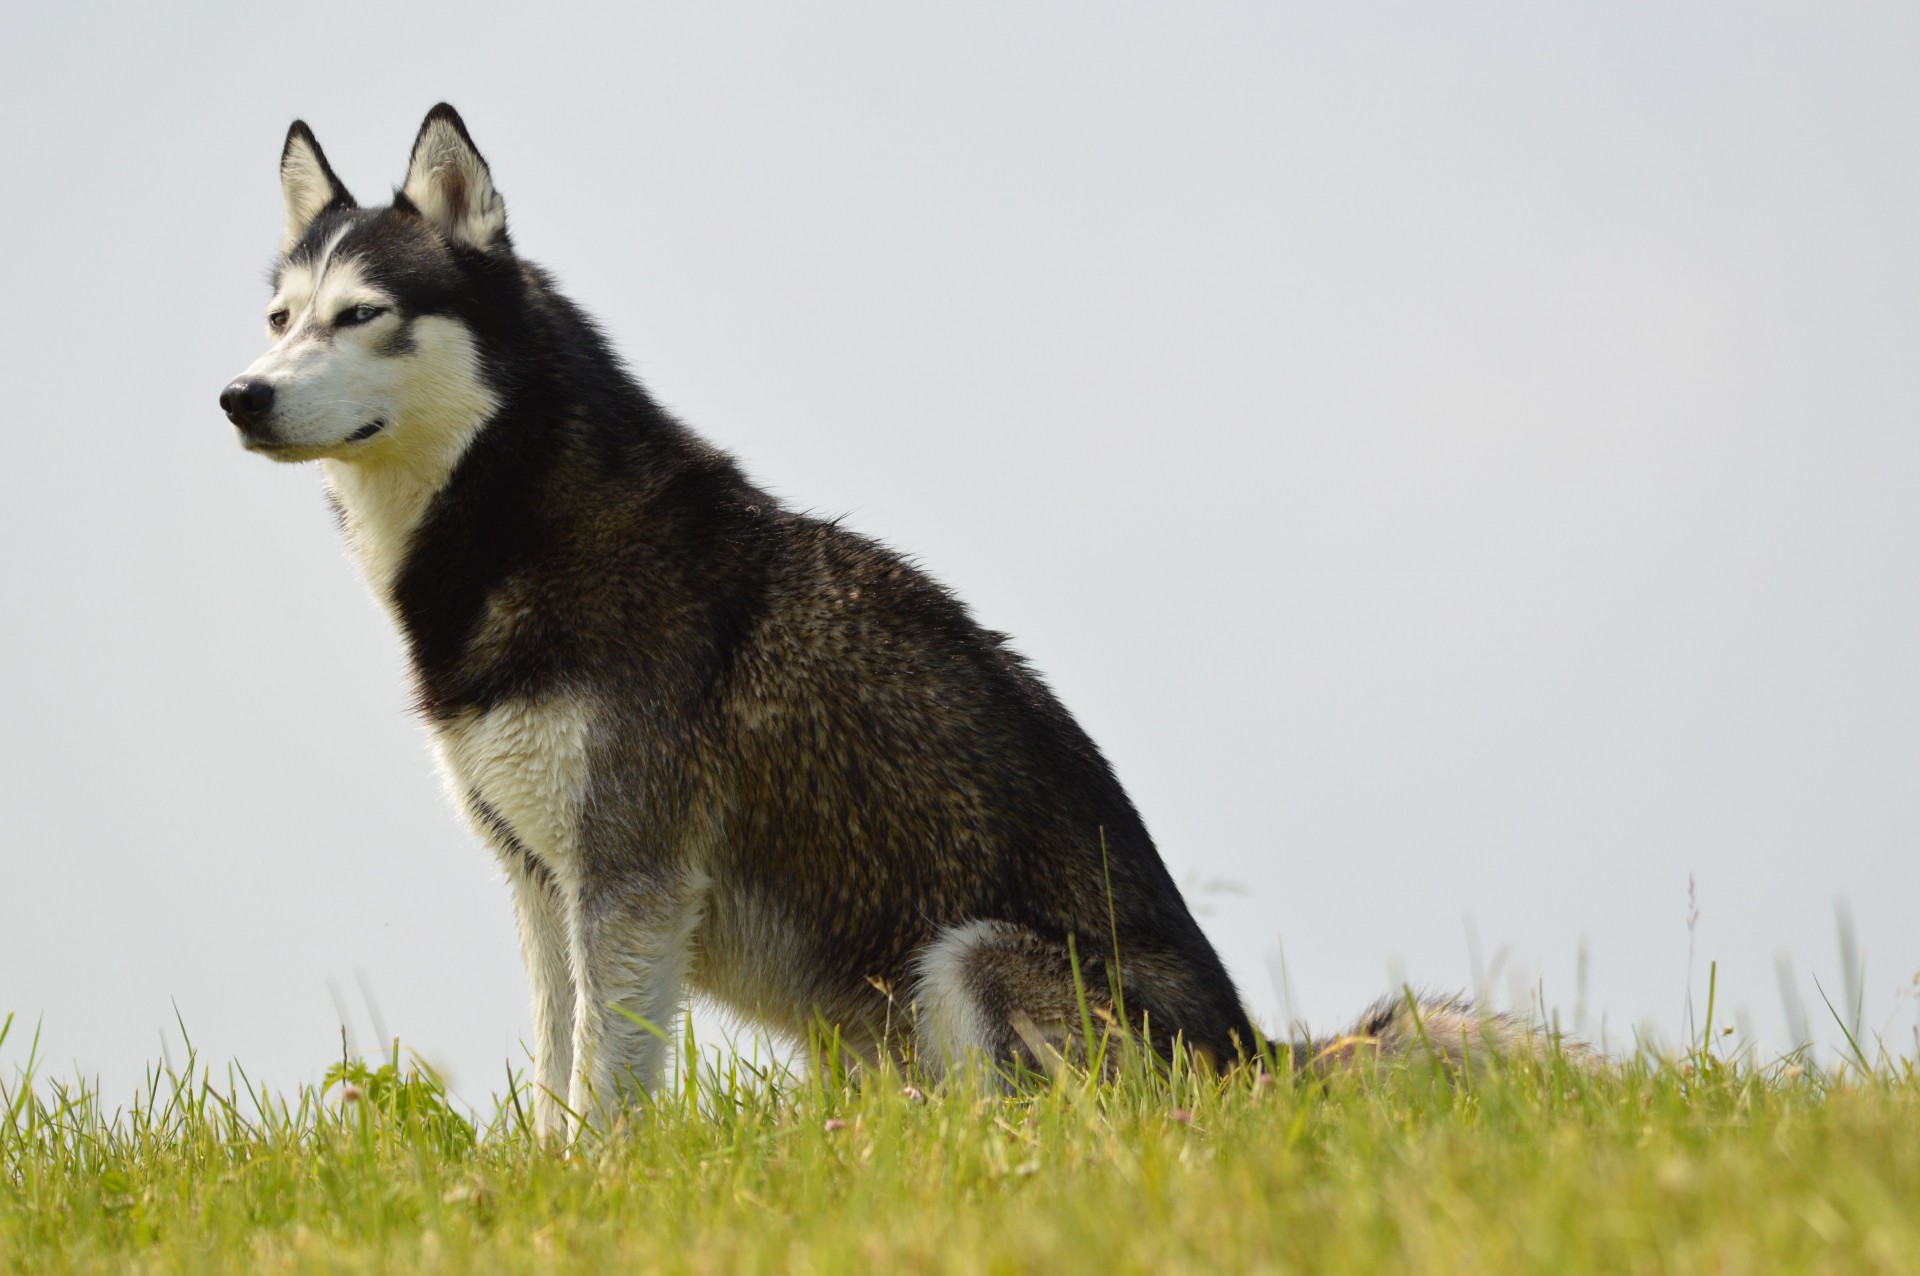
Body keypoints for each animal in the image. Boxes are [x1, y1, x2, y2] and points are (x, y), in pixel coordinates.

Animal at [224, 104, 1551, 1128]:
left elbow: (605, 1088)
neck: (518, 522)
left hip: (968, 955)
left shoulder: (630, 881)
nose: (239, 396)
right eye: (280, 319)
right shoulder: (545, 884)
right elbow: (559, 1072)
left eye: (363, 314)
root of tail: (1258, 1061)